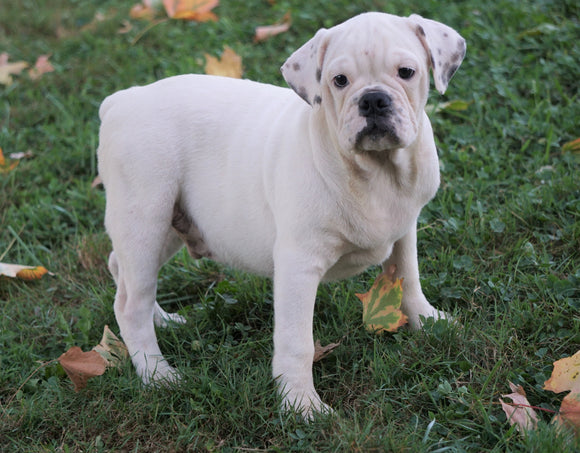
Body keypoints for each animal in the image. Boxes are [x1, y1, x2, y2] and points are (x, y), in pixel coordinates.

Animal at [96, 11, 466, 416]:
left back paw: (164, 322)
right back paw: (158, 375)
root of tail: (121, 101)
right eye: (339, 80)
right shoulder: (298, 264)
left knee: (126, 274)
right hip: (145, 214)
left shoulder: (404, 228)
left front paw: (429, 321)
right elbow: (296, 341)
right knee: (131, 304)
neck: (376, 170)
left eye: (406, 72)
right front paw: (302, 406)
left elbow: (408, 276)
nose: (373, 100)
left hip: (167, 225)